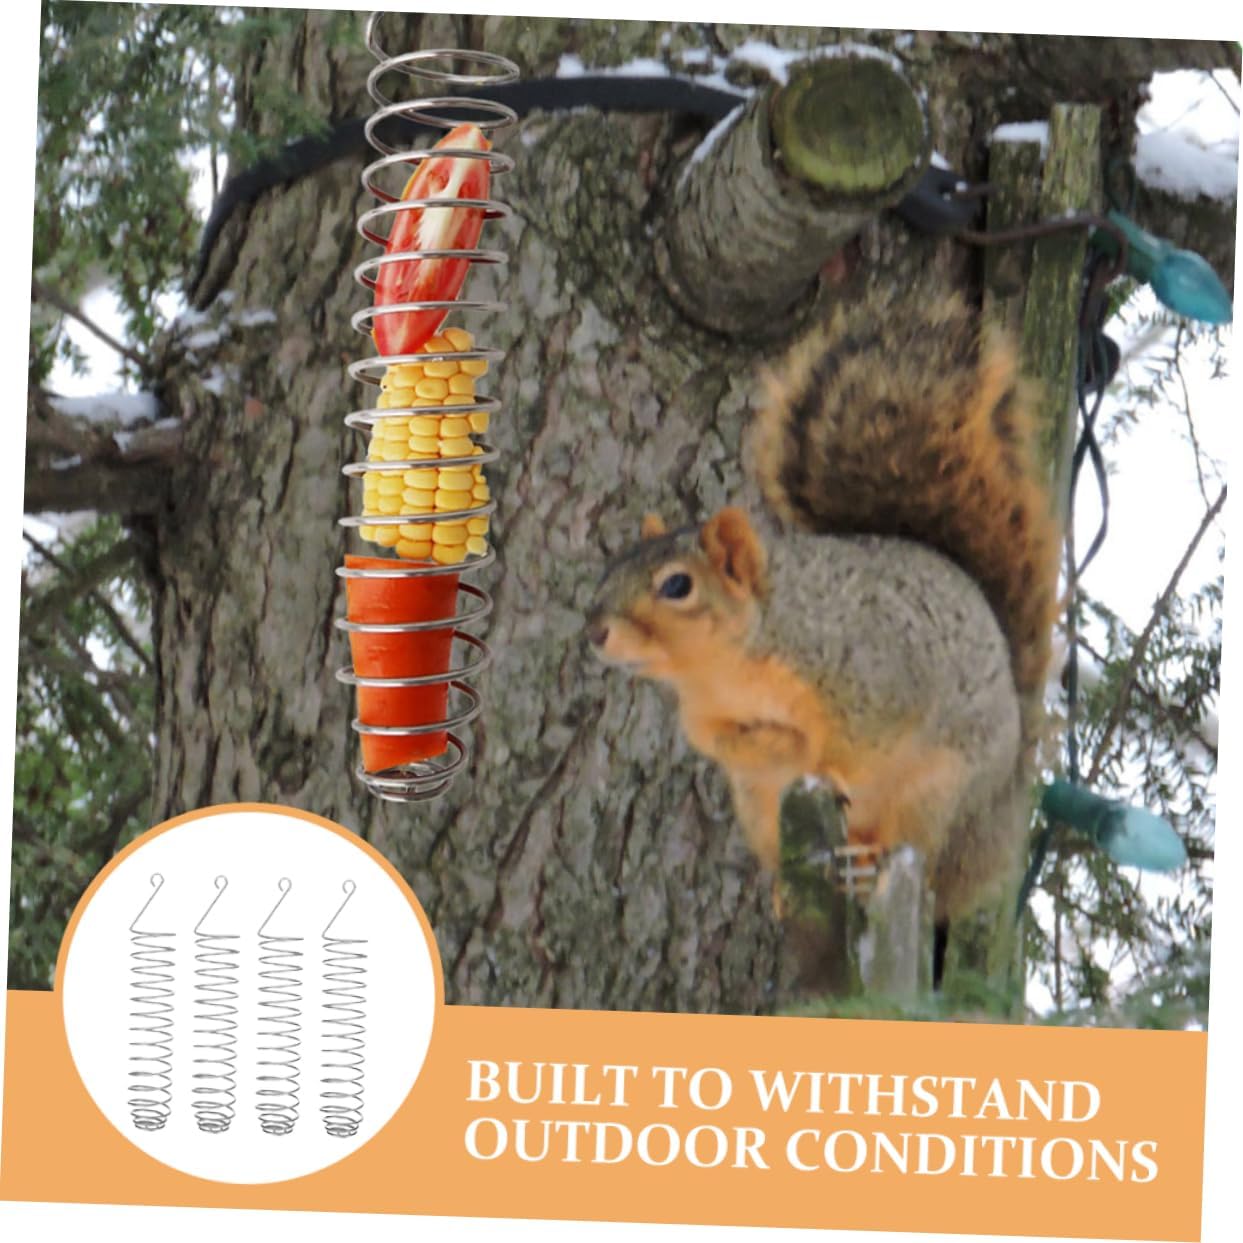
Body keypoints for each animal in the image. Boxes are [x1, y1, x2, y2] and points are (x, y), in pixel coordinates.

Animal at [585, 293, 1062, 924]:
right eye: (612, 567)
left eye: (677, 585)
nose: (595, 632)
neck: (729, 667)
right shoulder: (705, 715)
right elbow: (723, 745)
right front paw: (776, 745)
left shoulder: (871, 678)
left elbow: (852, 743)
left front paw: (817, 757)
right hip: (763, 811)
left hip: (940, 792)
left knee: (914, 852)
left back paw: (868, 863)